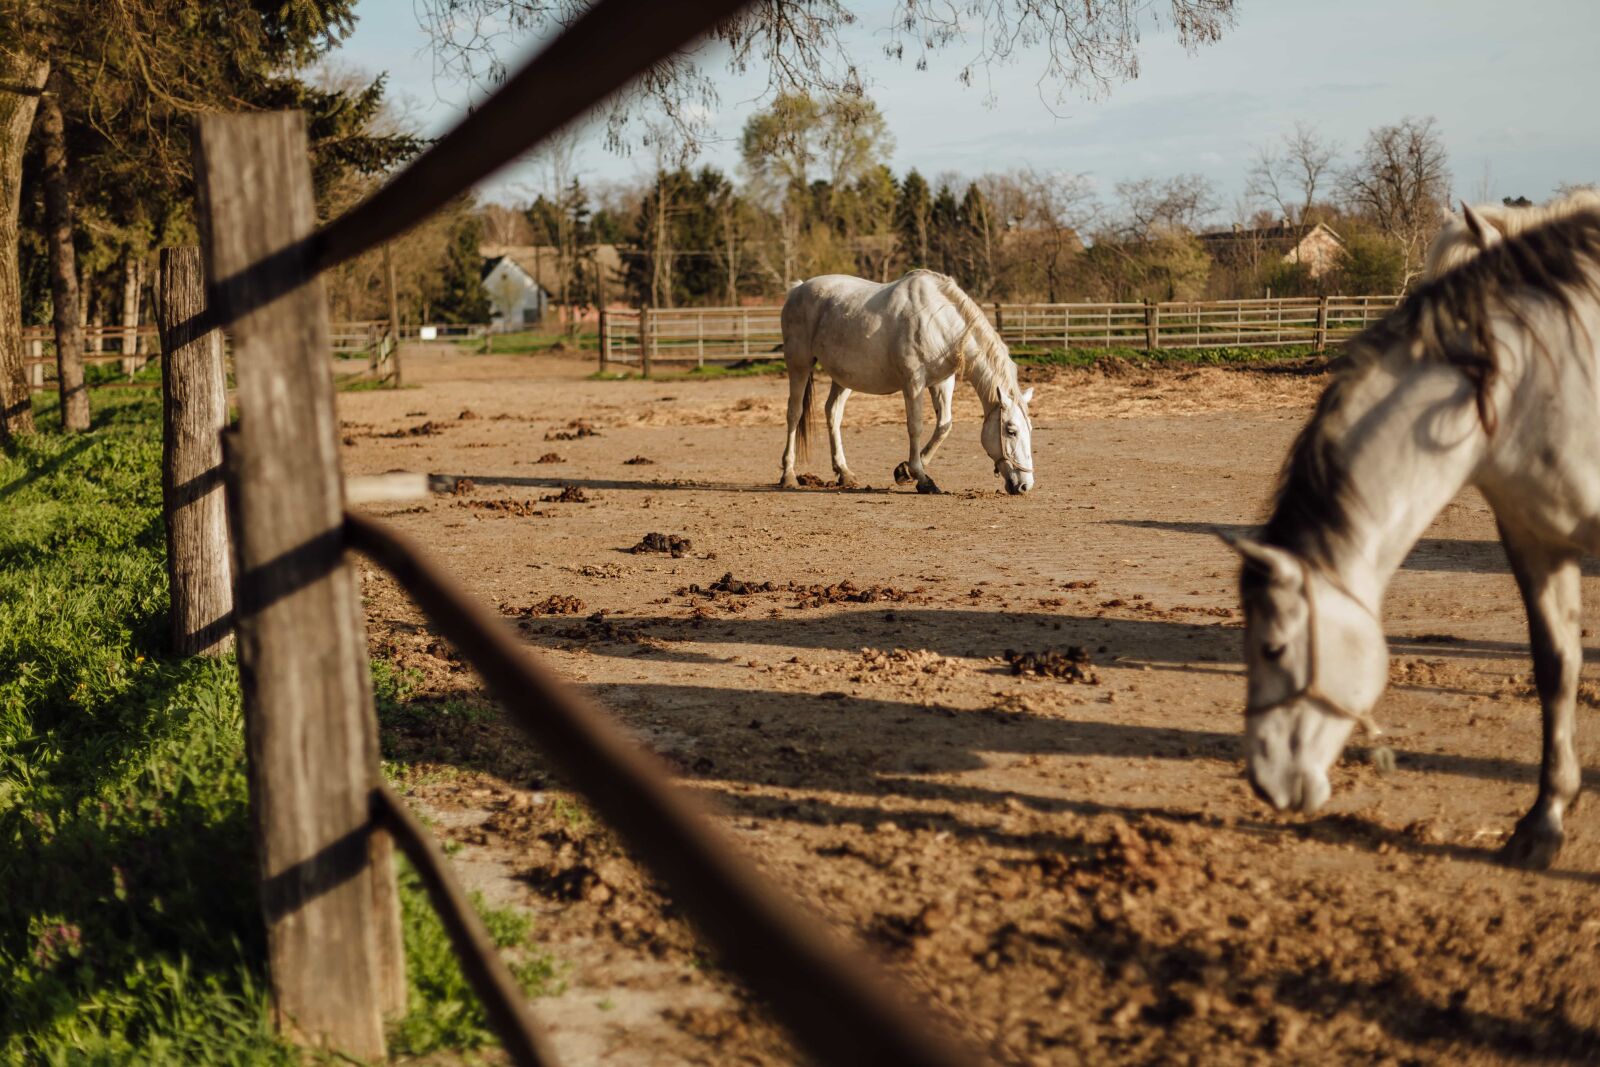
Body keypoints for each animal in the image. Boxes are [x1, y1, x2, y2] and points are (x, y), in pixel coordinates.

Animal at [778, 270, 1035, 495]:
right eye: (1011, 430)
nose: (1025, 485)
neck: (939, 320)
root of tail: (798, 288)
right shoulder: (913, 383)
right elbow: (915, 426)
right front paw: (922, 478)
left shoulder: (943, 382)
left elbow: (944, 426)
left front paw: (905, 471)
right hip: (799, 364)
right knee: (794, 413)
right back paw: (788, 475)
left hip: (843, 377)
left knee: (833, 413)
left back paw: (844, 473)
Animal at [1226, 202, 1600, 869]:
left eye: (1272, 648)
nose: (1265, 785)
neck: (1543, 380)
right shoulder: (1536, 538)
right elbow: (1557, 669)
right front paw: (1544, 821)